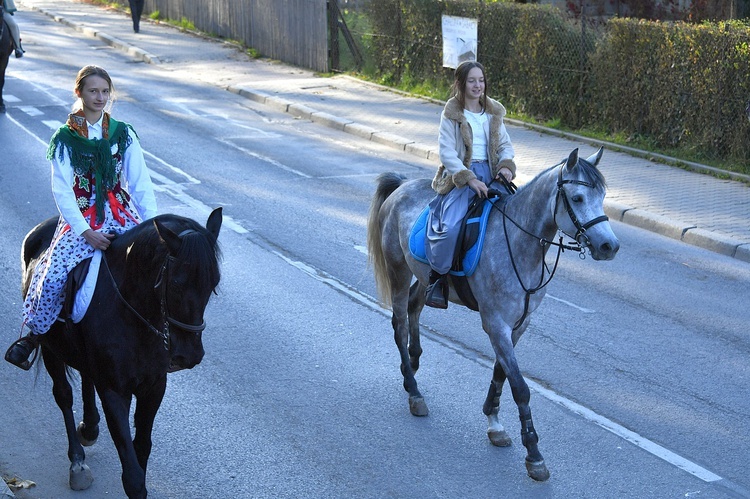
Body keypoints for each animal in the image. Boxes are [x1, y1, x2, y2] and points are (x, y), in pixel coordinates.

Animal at [22, 207, 222, 496]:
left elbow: (142, 447)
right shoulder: (115, 391)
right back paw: (77, 462)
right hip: (50, 348)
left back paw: (90, 427)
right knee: (63, 395)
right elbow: (133, 474)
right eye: (176, 283)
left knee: (86, 376)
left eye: (213, 282)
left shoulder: (154, 387)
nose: (189, 355)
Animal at [370, 147, 624, 480]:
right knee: (399, 322)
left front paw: (494, 422)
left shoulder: (519, 324)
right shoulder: (496, 324)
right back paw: (414, 391)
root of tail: (401, 185)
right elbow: (520, 387)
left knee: (414, 306)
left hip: (423, 277)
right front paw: (534, 453)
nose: (609, 246)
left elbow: (501, 373)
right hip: (398, 270)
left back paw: (412, 363)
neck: (519, 244)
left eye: (603, 196)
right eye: (578, 197)